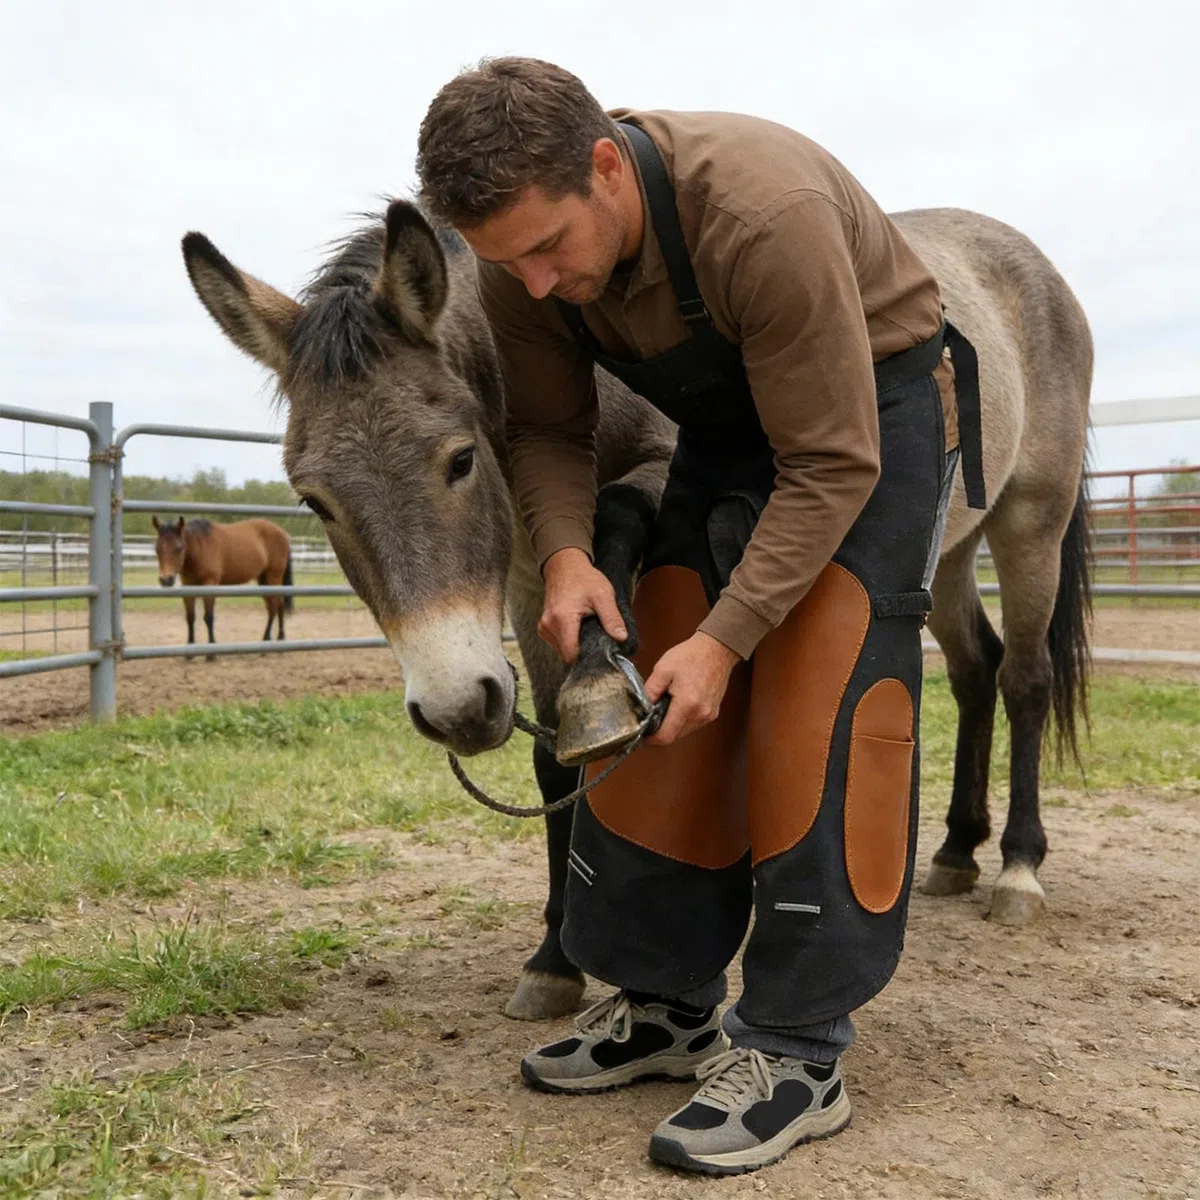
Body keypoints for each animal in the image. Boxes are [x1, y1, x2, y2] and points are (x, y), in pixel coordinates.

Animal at [152, 516, 294, 656]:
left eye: (179, 548)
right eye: (157, 549)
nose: (166, 580)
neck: (200, 547)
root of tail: (283, 533)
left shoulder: (209, 584)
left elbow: (208, 617)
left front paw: (211, 652)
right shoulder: (188, 587)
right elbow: (190, 617)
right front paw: (190, 652)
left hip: (273, 576)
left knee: (275, 606)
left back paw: (269, 641)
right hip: (263, 579)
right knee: (276, 606)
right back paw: (276, 640)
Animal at [180, 198, 1092, 1020]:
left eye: (459, 459)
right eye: (314, 500)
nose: (454, 709)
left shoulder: (668, 481)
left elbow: (621, 517)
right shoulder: (528, 583)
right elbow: (554, 759)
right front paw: (553, 960)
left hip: (1028, 522)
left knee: (1024, 678)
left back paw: (1017, 869)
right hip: (949, 552)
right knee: (975, 672)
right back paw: (956, 849)